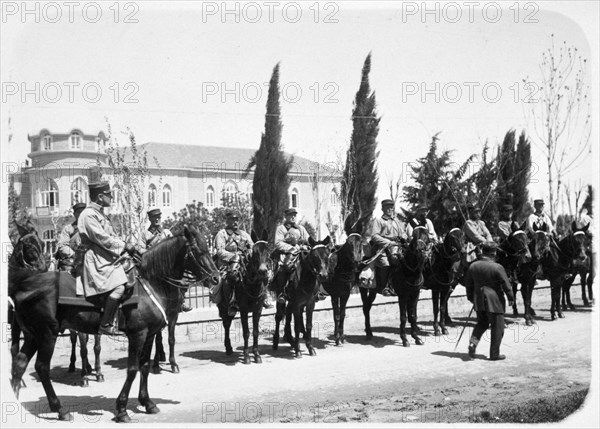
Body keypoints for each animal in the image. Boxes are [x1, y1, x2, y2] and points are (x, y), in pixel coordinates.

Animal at [8, 224, 220, 422]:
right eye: (198, 250)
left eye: (207, 248)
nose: (216, 277)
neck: (151, 283)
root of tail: (24, 284)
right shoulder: (137, 335)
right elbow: (133, 369)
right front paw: (122, 409)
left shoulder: (150, 334)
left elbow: (144, 367)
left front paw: (147, 402)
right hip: (47, 335)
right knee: (42, 368)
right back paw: (60, 409)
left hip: (33, 335)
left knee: (19, 364)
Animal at [218, 229, 274, 362]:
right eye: (254, 253)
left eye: (268, 251)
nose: (263, 271)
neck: (253, 285)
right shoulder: (243, 310)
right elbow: (246, 332)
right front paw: (246, 355)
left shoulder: (257, 310)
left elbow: (255, 331)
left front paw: (256, 354)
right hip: (224, 309)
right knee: (226, 325)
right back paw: (228, 348)